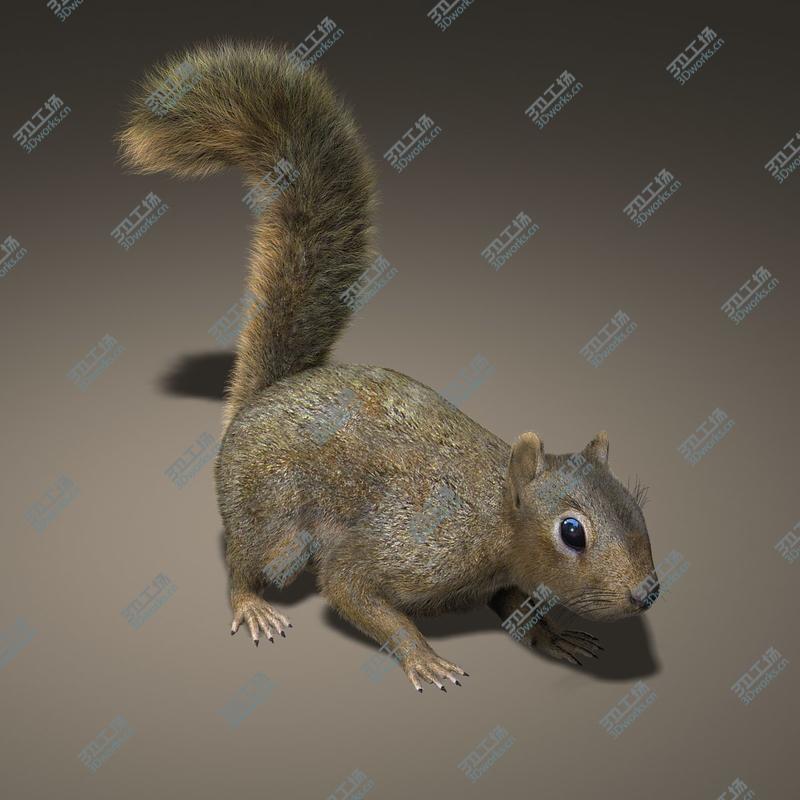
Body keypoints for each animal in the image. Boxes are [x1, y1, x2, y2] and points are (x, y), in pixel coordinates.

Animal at [118, 41, 658, 692]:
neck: (490, 516)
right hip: (268, 510)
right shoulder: (406, 543)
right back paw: (251, 603)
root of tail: (263, 396)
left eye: (635, 502)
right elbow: (350, 587)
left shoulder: (501, 579)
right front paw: (422, 654)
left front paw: (554, 636)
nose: (648, 591)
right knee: (246, 560)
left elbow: (518, 607)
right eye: (572, 531)